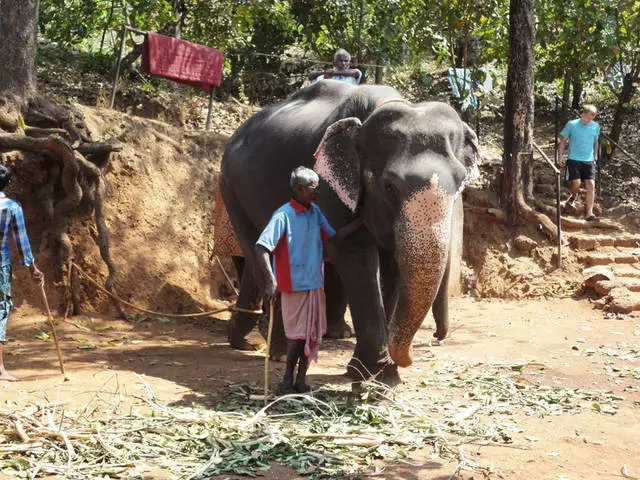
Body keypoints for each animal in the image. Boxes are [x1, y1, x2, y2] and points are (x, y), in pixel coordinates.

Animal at [219, 81, 476, 382]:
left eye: (460, 181)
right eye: (389, 186)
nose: (437, 336)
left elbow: (393, 266)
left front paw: (382, 375)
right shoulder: (329, 186)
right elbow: (357, 259)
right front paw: (372, 373)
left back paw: (254, 342)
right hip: (229, 188)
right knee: (258, 250)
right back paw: (278, 352)